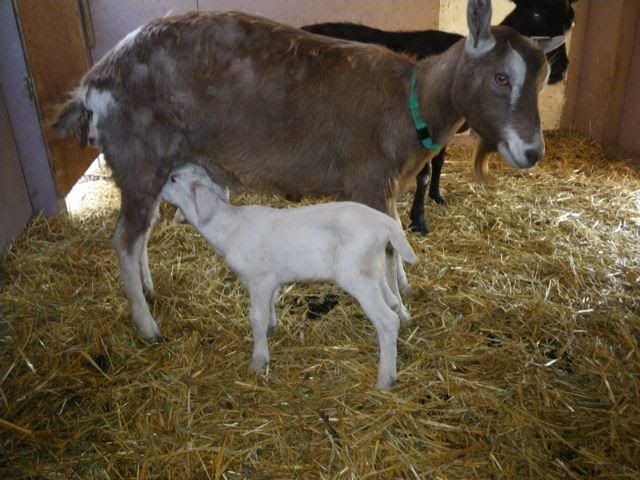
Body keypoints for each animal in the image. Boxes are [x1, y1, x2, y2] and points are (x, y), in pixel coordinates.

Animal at [53, 0, 549, 342]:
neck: (409, 100)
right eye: (501, 78)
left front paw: (404, 292)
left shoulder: (384, 185)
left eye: (542, 79)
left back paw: (149, 288)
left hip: (154, 165)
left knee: (143, 231)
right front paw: (399, 311)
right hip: (137, 158)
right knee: (124, 239)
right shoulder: (368, 180)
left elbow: (394, 238)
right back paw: (147, 325)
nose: (532, 151)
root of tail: (93, 83)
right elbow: (386, 250)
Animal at [161, 164, 417, 389]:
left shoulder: (260, 279)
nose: (156, 189)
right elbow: (270, 307)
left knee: (387, 320)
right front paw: (271, 328)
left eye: (173, 179)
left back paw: (385, 379)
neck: (229, 228)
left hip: (356, 275)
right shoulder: (272, 280)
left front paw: (258, 361)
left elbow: (256, 317)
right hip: (373, 270)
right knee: (392, 303)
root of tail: (384, 223)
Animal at [303, 0, 577, 234]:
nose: (562, 69)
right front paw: (418, 220)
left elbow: (440, 163)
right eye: (536, 13)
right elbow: (423, 174)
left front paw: (436, 196)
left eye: (569, 21)